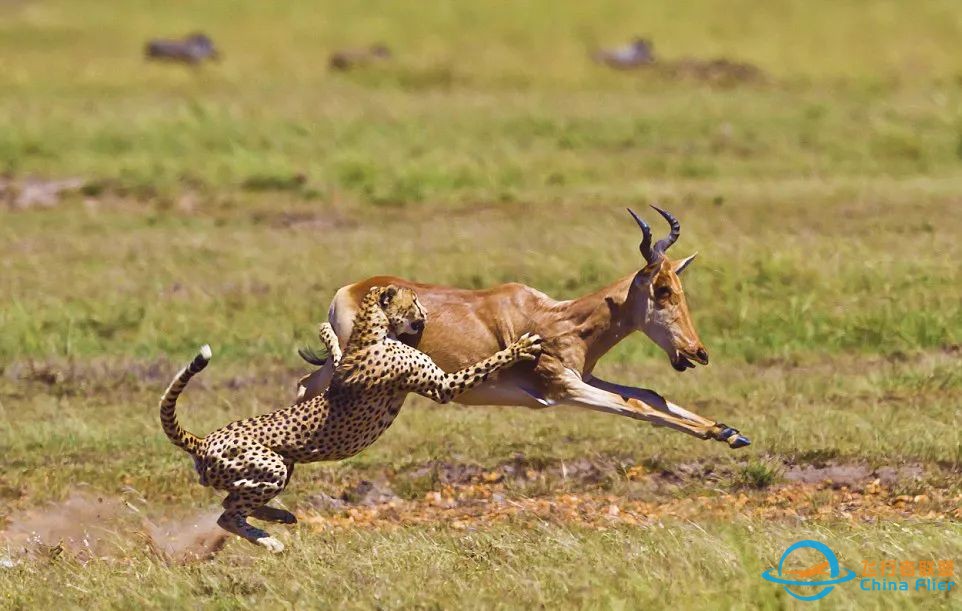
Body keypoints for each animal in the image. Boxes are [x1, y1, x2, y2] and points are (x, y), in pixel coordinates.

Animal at [159, 284, 540, 552]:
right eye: (415, 300)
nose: (427, 313)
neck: (374, 329)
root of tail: (202, 441)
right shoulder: (443, 387)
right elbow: (485, 363)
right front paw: (521, 347)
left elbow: (336, 354)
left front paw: (327, 334)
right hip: (272, 467)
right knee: (227, 514)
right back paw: (270, 540)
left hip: (279, 467)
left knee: (231, 503)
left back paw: (282, 515)